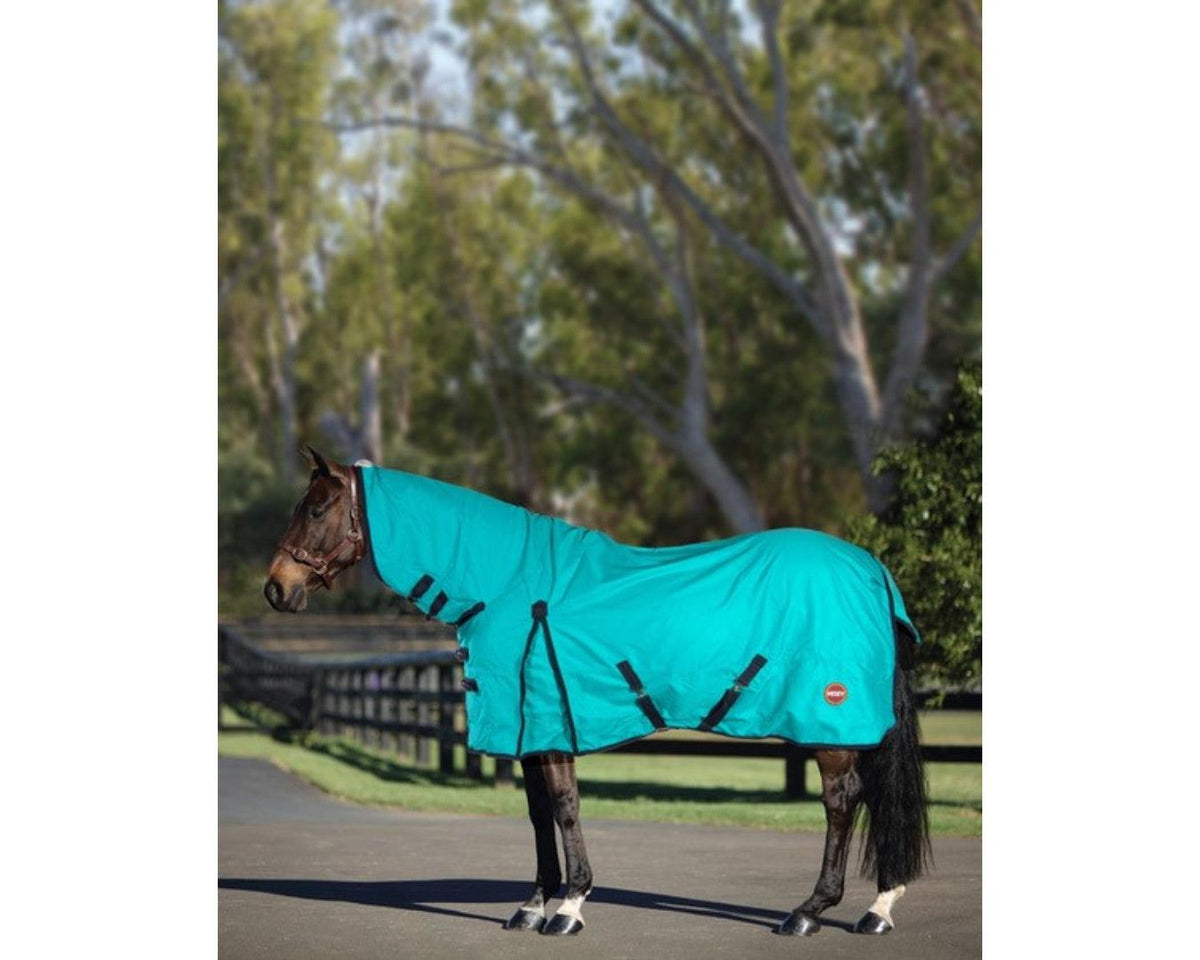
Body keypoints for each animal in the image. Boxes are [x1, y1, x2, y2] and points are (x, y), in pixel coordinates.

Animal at [264, 446, 930, 938]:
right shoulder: (527, 731)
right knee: (873, 797)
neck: (508, 584)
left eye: (317, 510)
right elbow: (537, 814)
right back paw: (878, 909)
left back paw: (810, 913)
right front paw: (532, 905)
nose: (275, 589)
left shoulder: (551, 726)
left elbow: (564, 807)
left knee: (843, 801)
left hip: (830, 726)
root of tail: (871, 568)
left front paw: (569, 908)